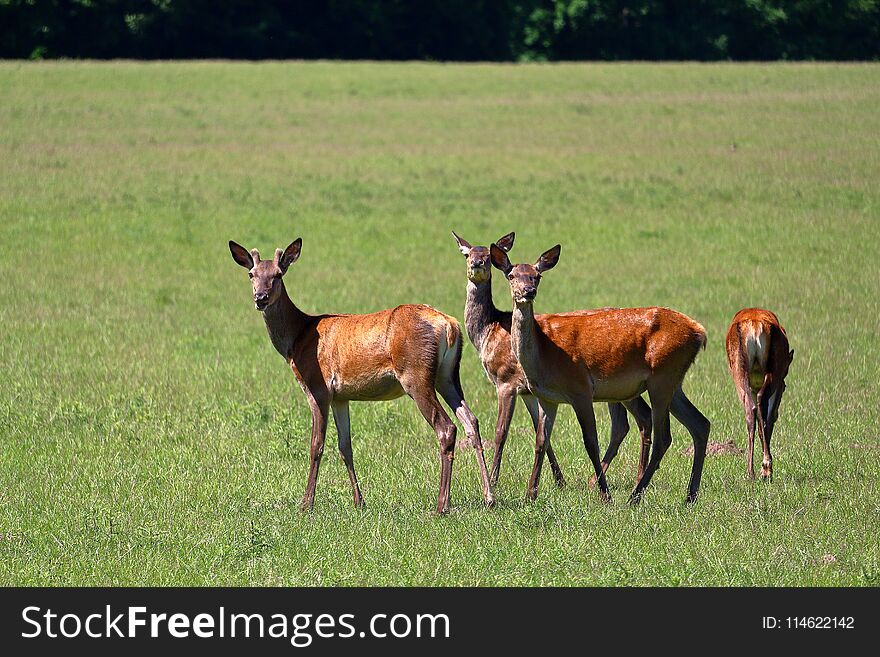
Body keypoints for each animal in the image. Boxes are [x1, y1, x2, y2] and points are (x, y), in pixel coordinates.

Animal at [230, 238, 496, 516]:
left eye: (278, 274)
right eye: (251, 274)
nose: (260, 298)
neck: (297, 340)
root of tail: (450, 326)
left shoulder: (317, 387)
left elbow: (316, 445)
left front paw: (306, 504)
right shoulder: (340, 397)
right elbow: (345, 446)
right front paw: (360, 502)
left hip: (416, 374)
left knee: (446, 427)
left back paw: (441, 504)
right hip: (448, 376)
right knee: (471, 421)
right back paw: (489, 497)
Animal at [454, 228, 652, 490]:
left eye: (487, 254)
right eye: (466, 254)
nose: (477, 264)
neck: (488, 330)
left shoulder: (506, 381)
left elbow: (501, 432)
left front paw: (494, 481)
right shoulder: (529, 390)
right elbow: (540, 431)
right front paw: (559, 480)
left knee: (638, 419)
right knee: (626, 423)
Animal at [492, 241, 712, 502]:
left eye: (537, 275)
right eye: (511, 275)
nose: (528, 291)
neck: (544, 356)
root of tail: (699, 332)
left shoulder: (580, 389)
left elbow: (590, 442)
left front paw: (605, 494)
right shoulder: (547, 398)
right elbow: (540, 441)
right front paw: (530, 495)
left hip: (663, 375)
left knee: (664, 437)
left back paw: (634, 497)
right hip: (674, 381)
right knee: (700, 424)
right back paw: (690, 496)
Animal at [724, 304, 796, 480]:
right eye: (785, 387)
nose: (778, 415)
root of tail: (756, 325)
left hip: (740, 370)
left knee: (751, 410)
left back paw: (752, 472)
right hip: (771, 370)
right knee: (760, 406)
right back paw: (765, 469)